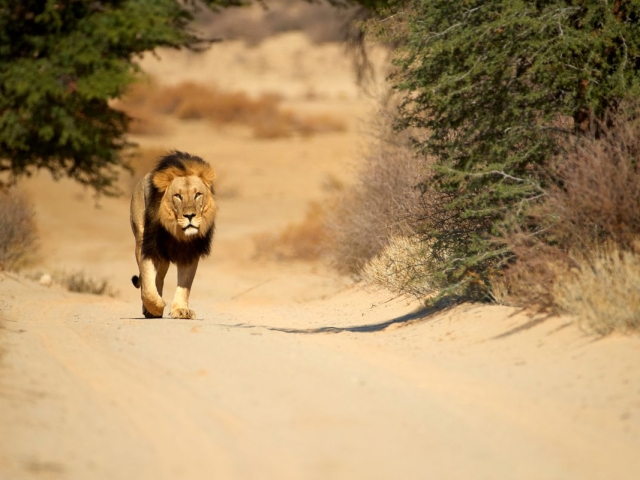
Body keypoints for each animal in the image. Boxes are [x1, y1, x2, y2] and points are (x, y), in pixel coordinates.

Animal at [130, 151, 217, 319]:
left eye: (198, 194)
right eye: (178, 196)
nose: (190, 215)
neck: (176, 232)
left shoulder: (191, 251)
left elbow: (185, 283)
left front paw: (181, 310)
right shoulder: (147, 246)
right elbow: (147, 285)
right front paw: (156, 307)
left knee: (159, 277)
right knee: (148, 279)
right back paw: (150, 309)